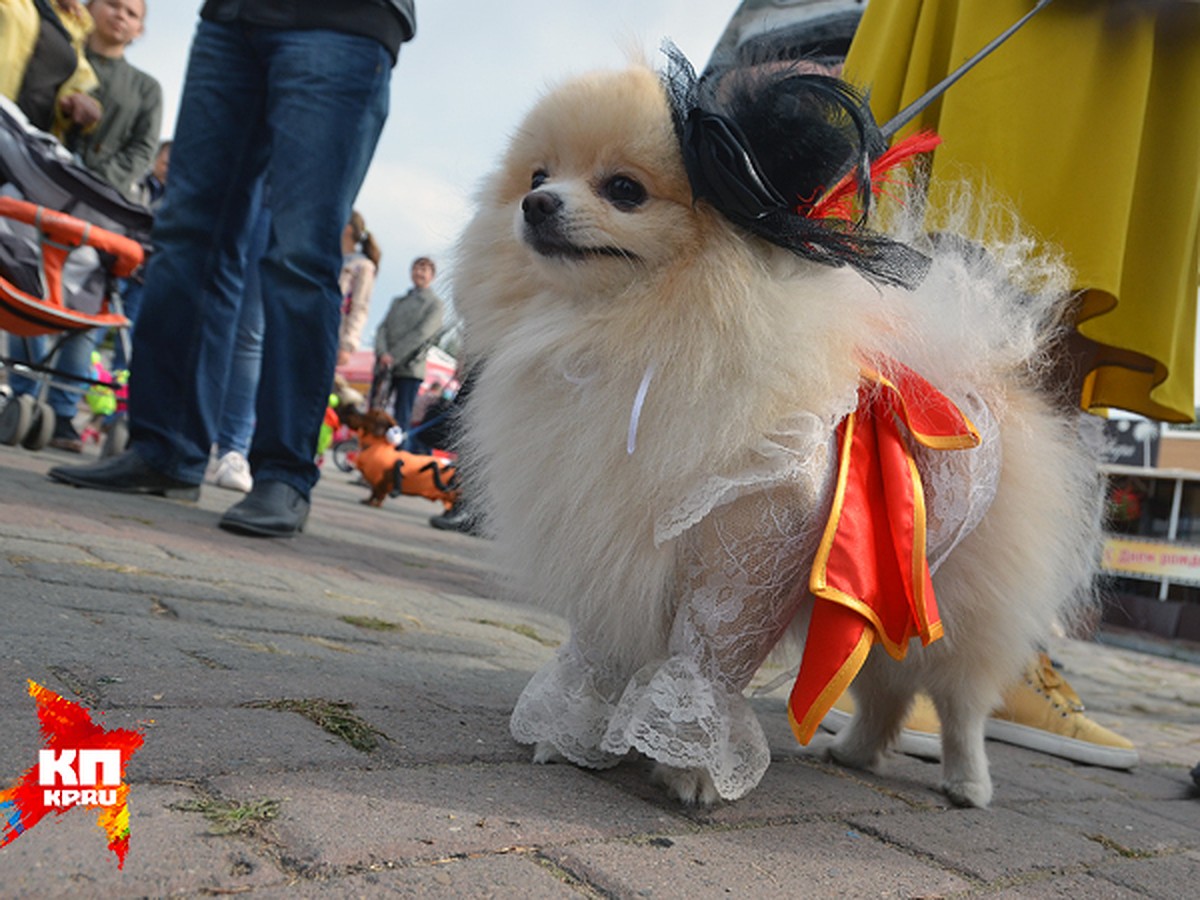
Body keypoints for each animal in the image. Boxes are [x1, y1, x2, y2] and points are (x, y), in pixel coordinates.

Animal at [453, 49, 1099, 811]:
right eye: (536, 177)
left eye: (624, 190)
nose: (538, 205)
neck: (629, 332)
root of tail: (980, 376)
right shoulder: (607, 549)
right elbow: (597, 658)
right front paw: (571, 736)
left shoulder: (746, 566)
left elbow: (704, 669)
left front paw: (693, 770)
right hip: (890, 596)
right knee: (886, 688)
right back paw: (856, 751)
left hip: (955, 608)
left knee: (958, 700)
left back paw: (968, 781)